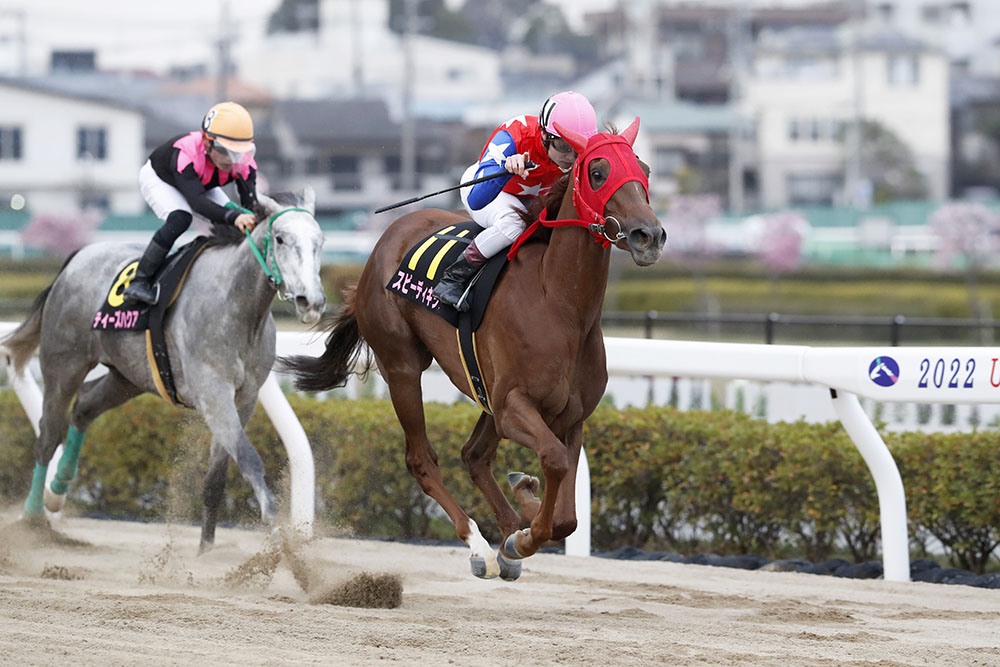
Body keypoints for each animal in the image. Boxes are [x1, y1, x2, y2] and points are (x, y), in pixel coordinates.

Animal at [1, 189, 327, 552]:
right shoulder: (214, 394)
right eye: (281, 238)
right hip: (64, 364)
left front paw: (206, 549)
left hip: (128, 376)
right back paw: (34, 519)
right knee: (48, 435)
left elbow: (217, 477)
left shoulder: (245, 398)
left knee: (84, 407)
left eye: (320, 242)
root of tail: (77, 258)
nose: (311, 301)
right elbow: (249, 458)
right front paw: (278, 535)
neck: (237, 306)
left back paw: (57, 490)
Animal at [282, 119, 665, 579]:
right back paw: (481, 545)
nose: (649, 235)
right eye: (597, 171)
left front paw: (525, 515)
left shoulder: (569, 417)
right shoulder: (513, 405)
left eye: (644, 168)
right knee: (422, 459)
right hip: (404, 368)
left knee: (474, 456)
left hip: (482, 389)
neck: (559, 304)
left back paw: (508, 527)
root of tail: (384, 242)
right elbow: (554, 463)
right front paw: (522, 537)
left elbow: (566, 516)